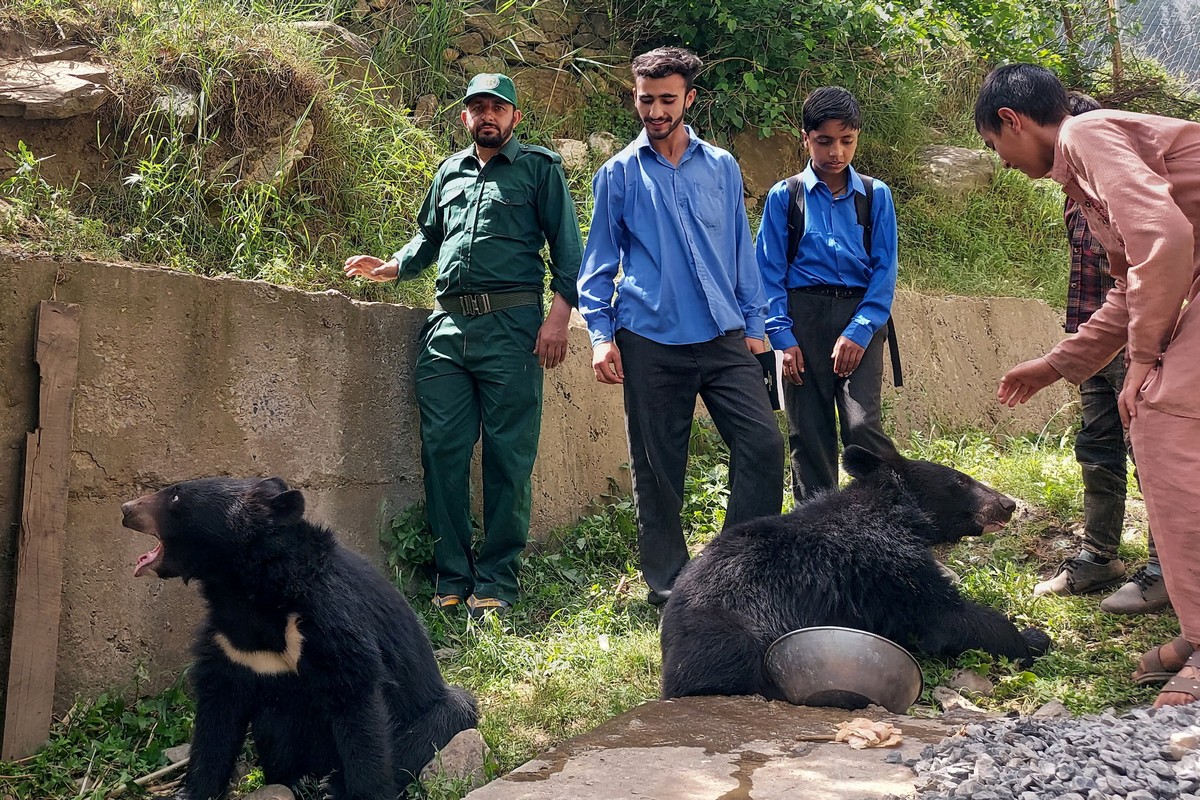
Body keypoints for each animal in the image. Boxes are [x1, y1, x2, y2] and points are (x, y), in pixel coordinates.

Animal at [120, 479, 477, 796]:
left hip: (440, 712)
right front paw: (193, 791)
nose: (125, 509)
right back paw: (298, 782)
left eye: (176, 495)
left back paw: (330, 783)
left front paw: (357, 791)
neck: (244, 590)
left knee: (436, 725)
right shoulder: (228, 643)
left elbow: (357, 699)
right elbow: (217, 717)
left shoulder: (330, 617)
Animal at [657, 450, 1051, 700]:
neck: (897, 510)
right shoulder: (887, 561)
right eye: (961, 481)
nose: (1008, 504)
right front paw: (1033, 638)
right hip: (731, 636)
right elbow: (943, 615)